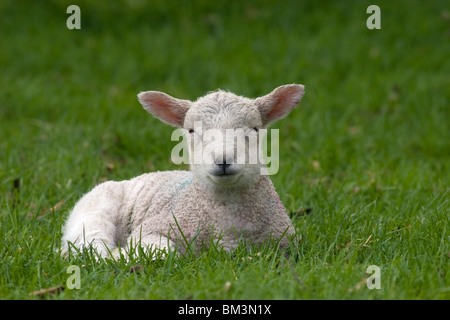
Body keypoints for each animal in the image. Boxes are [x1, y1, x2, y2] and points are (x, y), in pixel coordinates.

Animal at [60, 84, 306, 258]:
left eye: (254, 129)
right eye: (191, 131)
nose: (222, 160)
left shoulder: (285, 242)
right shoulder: (157, 226)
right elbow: (160, 251)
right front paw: (121, 255)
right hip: (93, 211)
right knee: (86, 246)